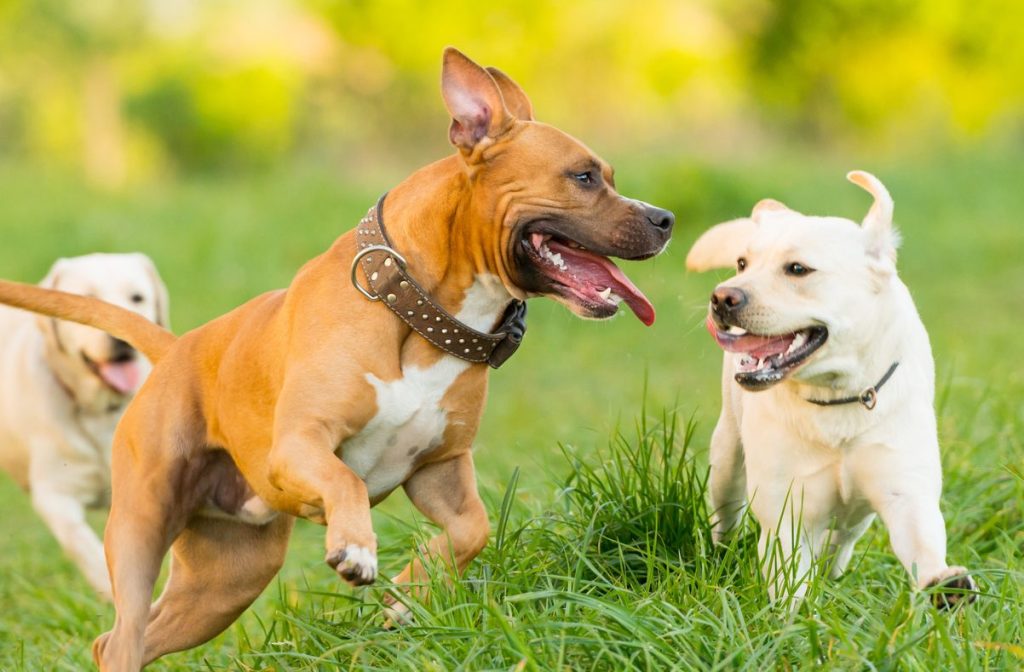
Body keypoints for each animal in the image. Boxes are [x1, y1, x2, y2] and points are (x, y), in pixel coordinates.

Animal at [0, 253, 167, 598]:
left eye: (137, 297)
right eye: (88, 297)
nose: (119, 338)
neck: (101, 411)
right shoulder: (55, 495)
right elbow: (82, 545)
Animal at [684, 171, 970, 606]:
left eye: (798, 269)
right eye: (741, 263)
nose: (722, 296)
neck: (837, 395)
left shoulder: (904, 490)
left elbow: (922, 545)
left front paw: (946, 584)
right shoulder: (787, 511)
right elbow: (788, 579)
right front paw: (793, 614)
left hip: (858, 514)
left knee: (843, 537)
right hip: (727, 460)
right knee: (726, 515)